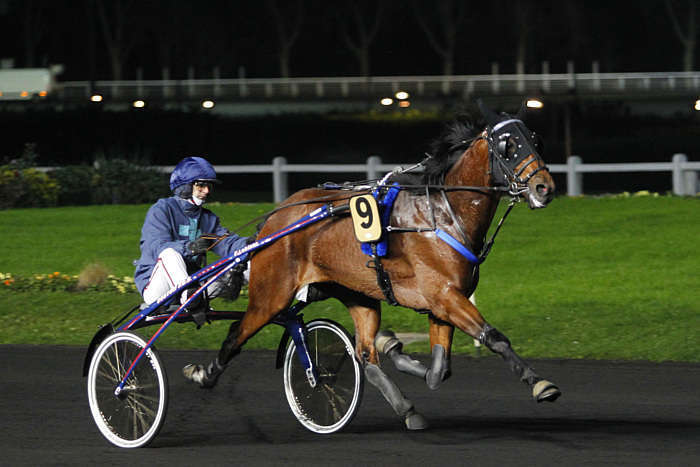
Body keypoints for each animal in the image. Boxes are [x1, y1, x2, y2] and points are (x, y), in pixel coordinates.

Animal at [185, 102, 560, 429]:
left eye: (536, 140)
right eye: (508, 145)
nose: (544, 187)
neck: (442, 214)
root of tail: (274, 219)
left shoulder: (444, 302)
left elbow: (439, 370)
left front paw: (394, 347)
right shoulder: (445, 296)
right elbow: (494, 337)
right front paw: (539, 383)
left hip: (358, 294)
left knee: (365, 356)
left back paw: (405, 404)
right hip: (272, 294)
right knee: (237, 332)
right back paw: (204, 373)